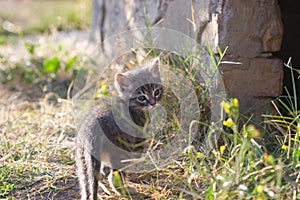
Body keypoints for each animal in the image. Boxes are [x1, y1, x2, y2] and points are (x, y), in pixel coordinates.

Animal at [76, 60, 163, 199]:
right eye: (141, 97)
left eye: (156, 92)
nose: (153, 103)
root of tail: (92, 128)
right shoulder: (138, 140)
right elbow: (135, 160)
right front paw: (133, 175)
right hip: (121, 149)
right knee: (114, 176)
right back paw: (125, 191)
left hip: (82, 157)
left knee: (85, 182)